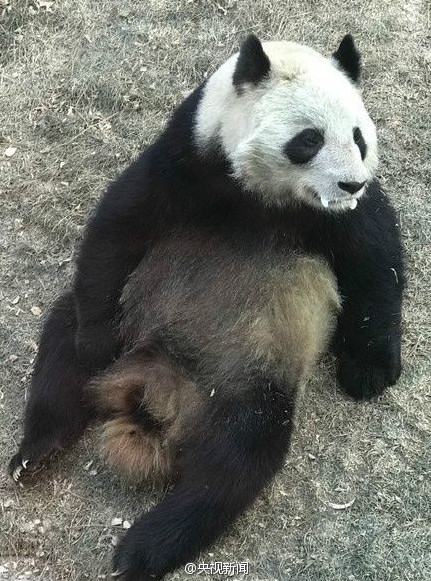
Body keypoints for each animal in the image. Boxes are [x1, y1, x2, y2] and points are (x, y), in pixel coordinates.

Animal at [8, 35, 404, 580]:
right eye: (309, 139)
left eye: (360, 138)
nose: (350, 184)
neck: (261, 195)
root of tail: (157, 386)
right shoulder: (186, 161)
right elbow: (117, 226)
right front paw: (94, 343)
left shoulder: (338, 214)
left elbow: (375, 261)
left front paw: (368, 373)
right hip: (129, 308)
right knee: (64, 346)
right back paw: (38, 451)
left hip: (247, 379)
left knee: (234, 463)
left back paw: (144, 547)